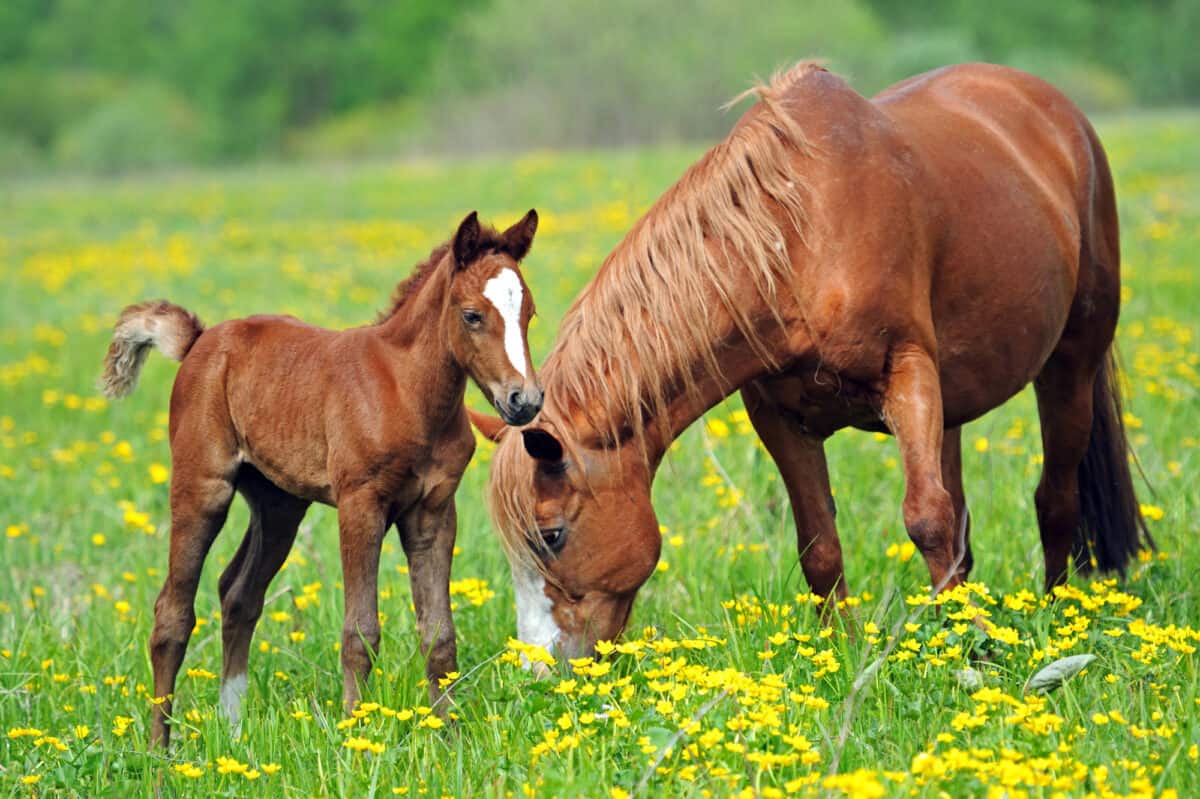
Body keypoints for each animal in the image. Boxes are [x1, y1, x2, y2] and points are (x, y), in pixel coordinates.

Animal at [101, 210, 543, 747]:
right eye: (472, 315)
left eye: (529, 314)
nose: (525, 400)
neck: (406, 390)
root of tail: (201, 341)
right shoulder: (360, 504)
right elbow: (360, 631)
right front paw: (355, 731)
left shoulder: (434, 511)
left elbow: (439, 633)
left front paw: (450, 735)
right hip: (203, 487)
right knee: (173, 612)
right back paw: (158, 749)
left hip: (279, 505)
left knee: (239, 594)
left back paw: (233, 729)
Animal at [474, 62, 1151, 660]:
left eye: (552, 535)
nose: (540, 666)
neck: (802, 238)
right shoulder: (780, 417)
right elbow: (820, 545)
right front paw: (842, 652)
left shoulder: (907, 373)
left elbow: (926, 518)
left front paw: (973, 649)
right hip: (954, 403)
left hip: (1070, 364)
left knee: (1053, 498)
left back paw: (1056, 614)